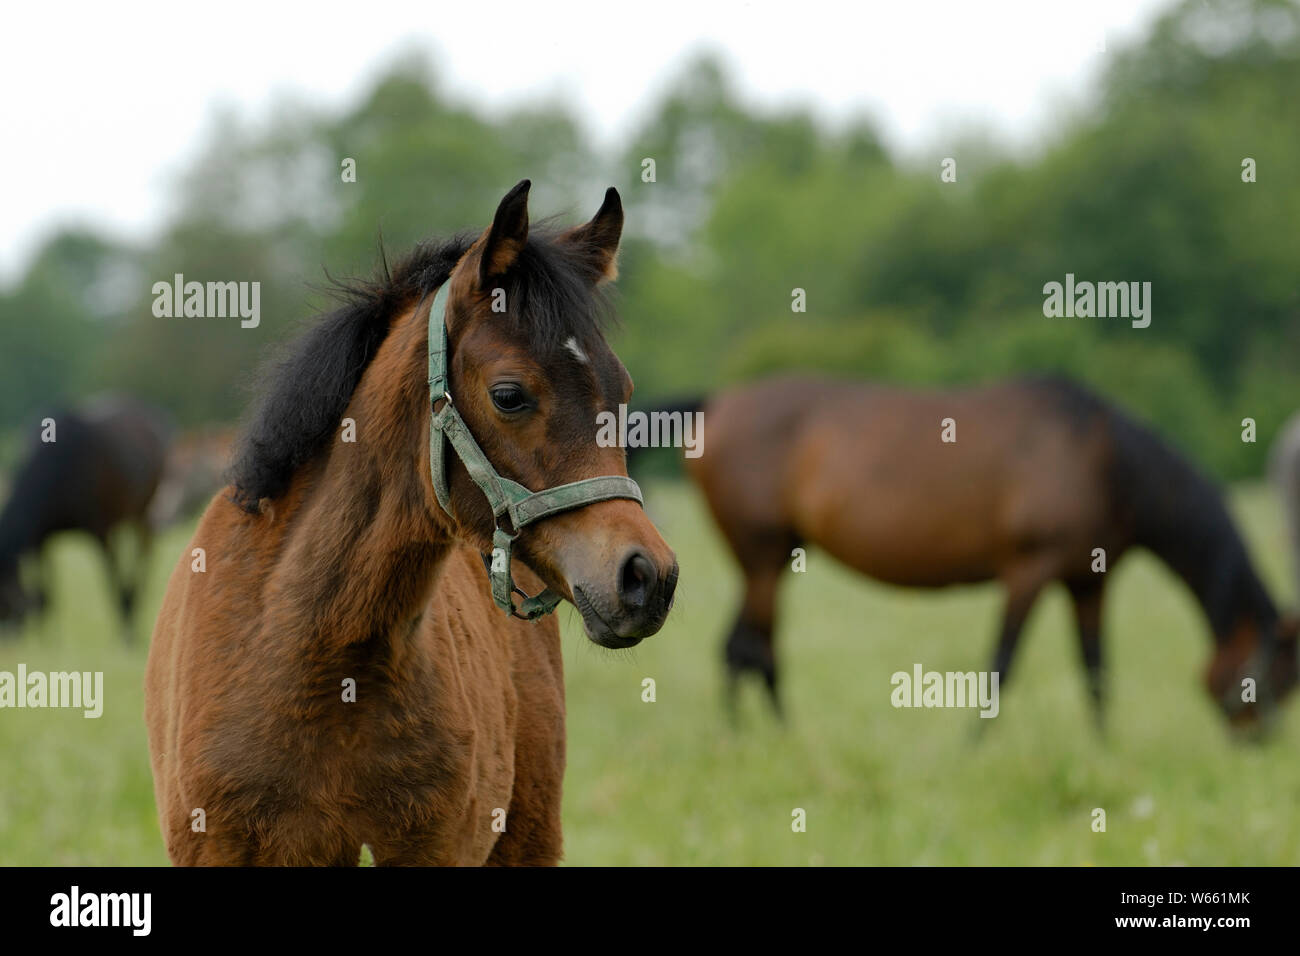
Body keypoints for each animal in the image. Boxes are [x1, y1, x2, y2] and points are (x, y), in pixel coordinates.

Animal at [0, 395, 171, 638]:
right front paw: (49, 638)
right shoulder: (42, 539)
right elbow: (46, 595)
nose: (9, 634)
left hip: (142, 511)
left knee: (144, 553)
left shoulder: (101, 530)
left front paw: (126, 631)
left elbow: (112, 581)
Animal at [660, 375, 1297, 731]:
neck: (1100, 459)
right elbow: (1001, 667)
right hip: (764, 558)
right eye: (1272, 680)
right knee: (752, 652)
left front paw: (1105, 753)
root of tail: (716, 404)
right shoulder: (1029, 570)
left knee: (740, 649)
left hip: (769, 561)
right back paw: (785, 743)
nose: (1258, 743)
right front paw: (972, 748)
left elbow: (1096, 673)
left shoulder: (1088, 582)